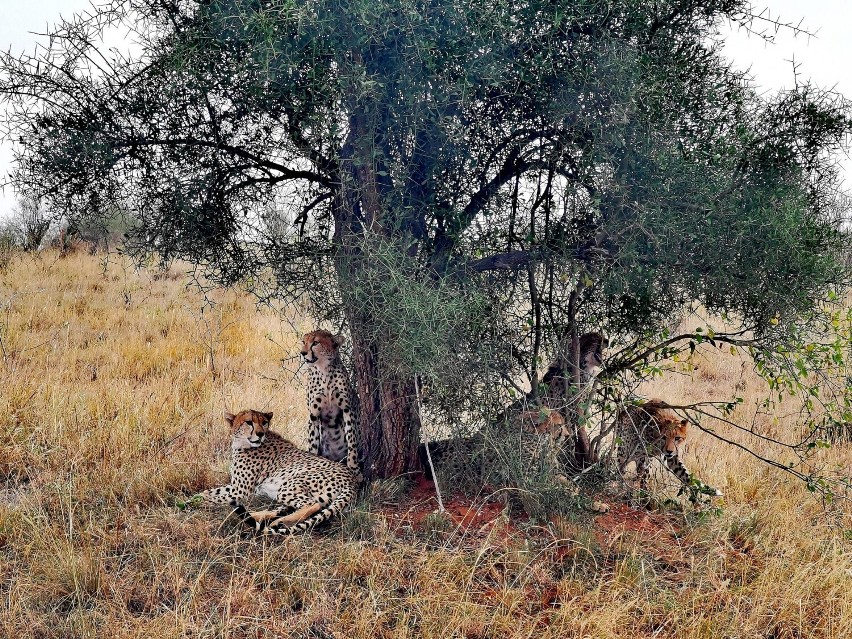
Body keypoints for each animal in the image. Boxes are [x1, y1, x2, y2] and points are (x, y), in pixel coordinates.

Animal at [198, 410, 358, 536]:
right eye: (249, 422)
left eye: (264, 422)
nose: (260, 433)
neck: (242, 444)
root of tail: (352, 479)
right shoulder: (236, 486)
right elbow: (209, 492)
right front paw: (197, 497)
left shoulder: (241, 491)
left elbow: (216, 498)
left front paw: (198, 503)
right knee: (287, 508)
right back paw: (256, 516)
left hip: (289, 485)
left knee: (311, 505)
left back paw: (278, 522)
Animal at [300, 330, 360, 476]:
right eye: (303, 342)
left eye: (315, 342)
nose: (302, 353)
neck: (324, 371)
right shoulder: (313, 415)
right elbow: (313, 444)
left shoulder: (347, 410)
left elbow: (352, 440)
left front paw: (354, 467)